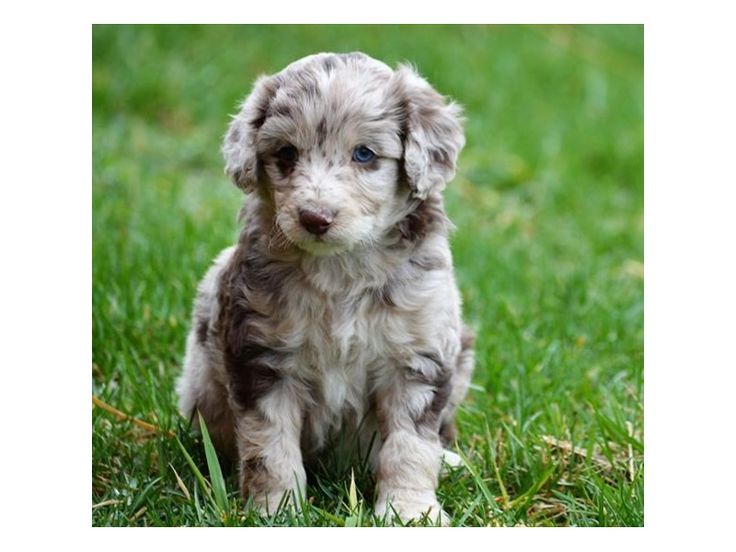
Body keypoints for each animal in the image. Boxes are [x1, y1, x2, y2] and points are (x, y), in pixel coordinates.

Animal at [176, 52, 474, 528]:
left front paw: (410, 512)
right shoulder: (262, 357)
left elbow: (410, 446)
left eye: (365, 154)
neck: (341, 268)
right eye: (286, 153)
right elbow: (269, 446)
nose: (315, 217)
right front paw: (276, 510)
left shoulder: (419, 358)